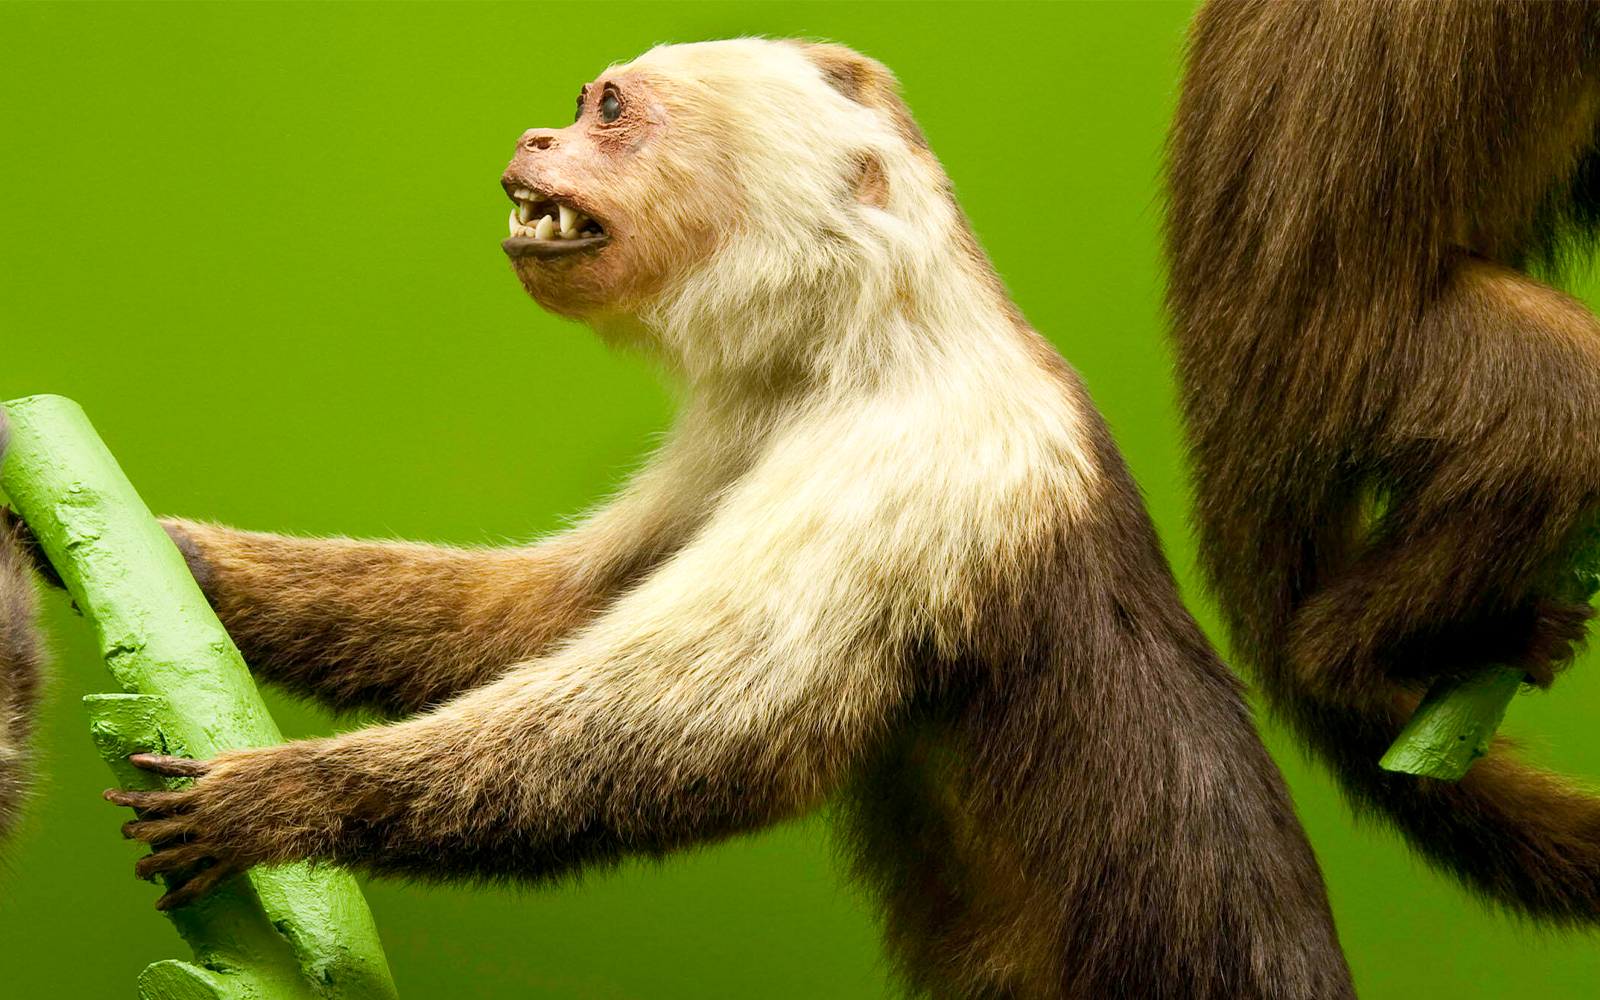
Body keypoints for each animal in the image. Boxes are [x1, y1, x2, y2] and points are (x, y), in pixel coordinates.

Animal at [3, 40, 1355, 999]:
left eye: (608, 110)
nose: (535, 131)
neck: (859, 349)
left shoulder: (923, 461)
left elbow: (716, 729)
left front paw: (290, 800)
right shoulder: (743, 423)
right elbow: (537, 618)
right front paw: (163, 556)